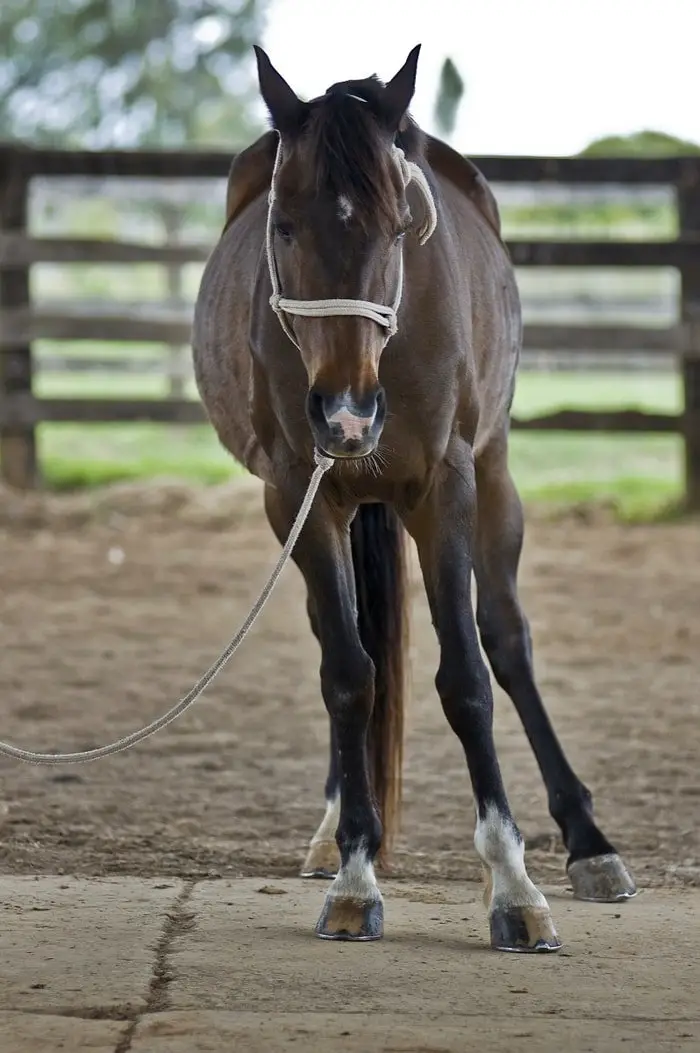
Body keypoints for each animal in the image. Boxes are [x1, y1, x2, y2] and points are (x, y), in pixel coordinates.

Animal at [189, 41, 631, 951]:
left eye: (398, 228)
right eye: (283, 227)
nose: (346, 411)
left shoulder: (445, 488)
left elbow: (467, 676)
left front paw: (514, 886)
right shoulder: (297, 496)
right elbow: (348, 675)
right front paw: (356, 871)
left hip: (494, 481)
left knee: (508, 640)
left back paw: (588, 842)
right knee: (343, 645)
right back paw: (333, 829)